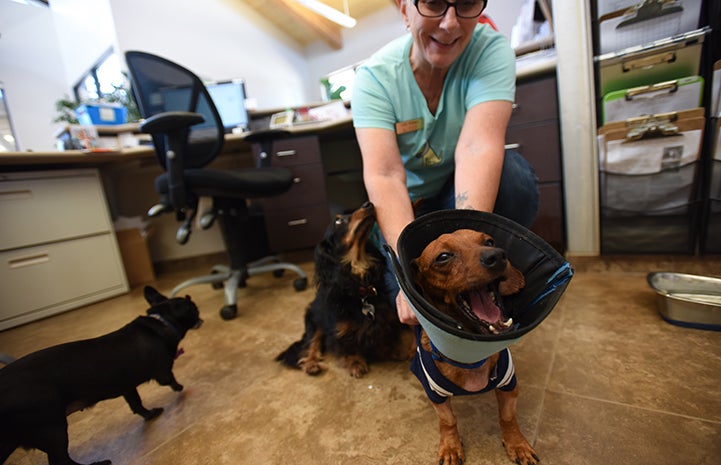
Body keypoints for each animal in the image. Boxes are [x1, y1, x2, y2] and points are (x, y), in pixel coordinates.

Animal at [0, 284, 202, 464]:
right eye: (193, 309)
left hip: (13, 440)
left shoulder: (128, 387)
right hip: (53, 429)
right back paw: (99, 463)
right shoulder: (163, 371)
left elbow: (136, 404)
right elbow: (170, 379)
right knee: (60, 461)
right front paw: (179, 387)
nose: (193, 301)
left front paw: (150, 414)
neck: (161, 321)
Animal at [276, 201, 410, 376]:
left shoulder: (387, 318)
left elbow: (393, 336)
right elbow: (345, 346)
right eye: (338, 221)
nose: (368, 203)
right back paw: (311, 363)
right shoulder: (338, 331)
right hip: (314, 321)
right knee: (312, 342)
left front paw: (399, 350)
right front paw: (355, 363)